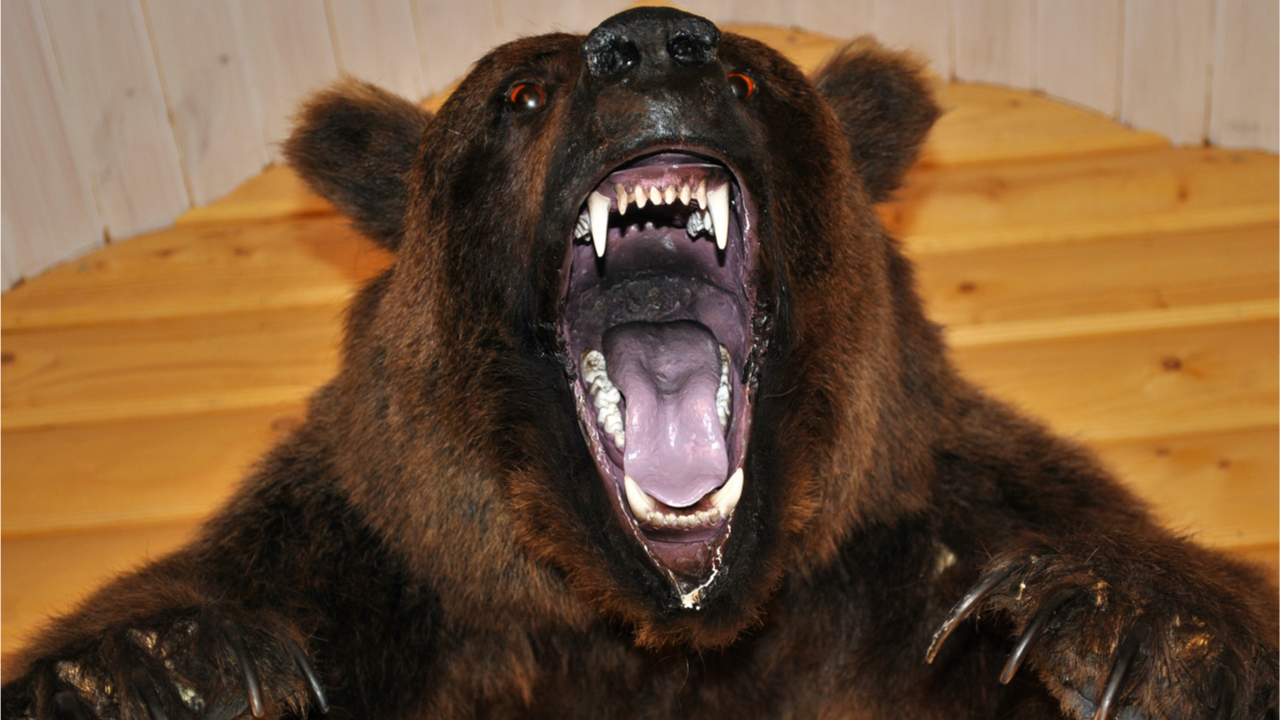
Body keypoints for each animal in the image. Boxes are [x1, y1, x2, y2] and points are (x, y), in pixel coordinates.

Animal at [3, 7, 1276, 719]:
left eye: (757, 77)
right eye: (520, 90)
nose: (655, 40)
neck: (671, 628)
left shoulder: (917, 553)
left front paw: (1126, 630)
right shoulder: (386, 572)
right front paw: (156, 671)